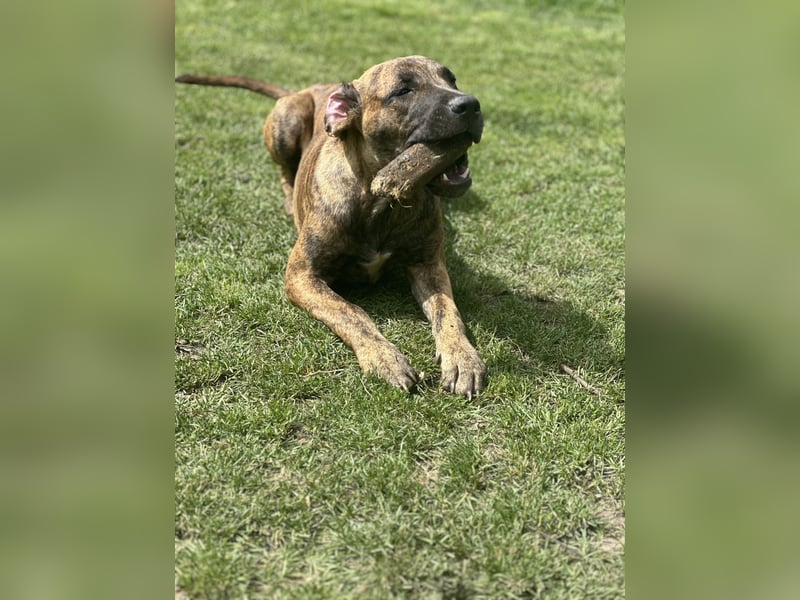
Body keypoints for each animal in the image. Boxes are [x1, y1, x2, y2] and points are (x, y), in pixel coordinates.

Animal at [177, 54, 484, 396]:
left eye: (451, 80)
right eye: (403, 91)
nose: (471, 104)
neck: (378, 200)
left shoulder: (428, 263)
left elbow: (449, 312)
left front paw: (463, 357)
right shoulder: (302, 276)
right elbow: (352, 313)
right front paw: (384, 357)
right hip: (286, 125)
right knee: (284, 170)